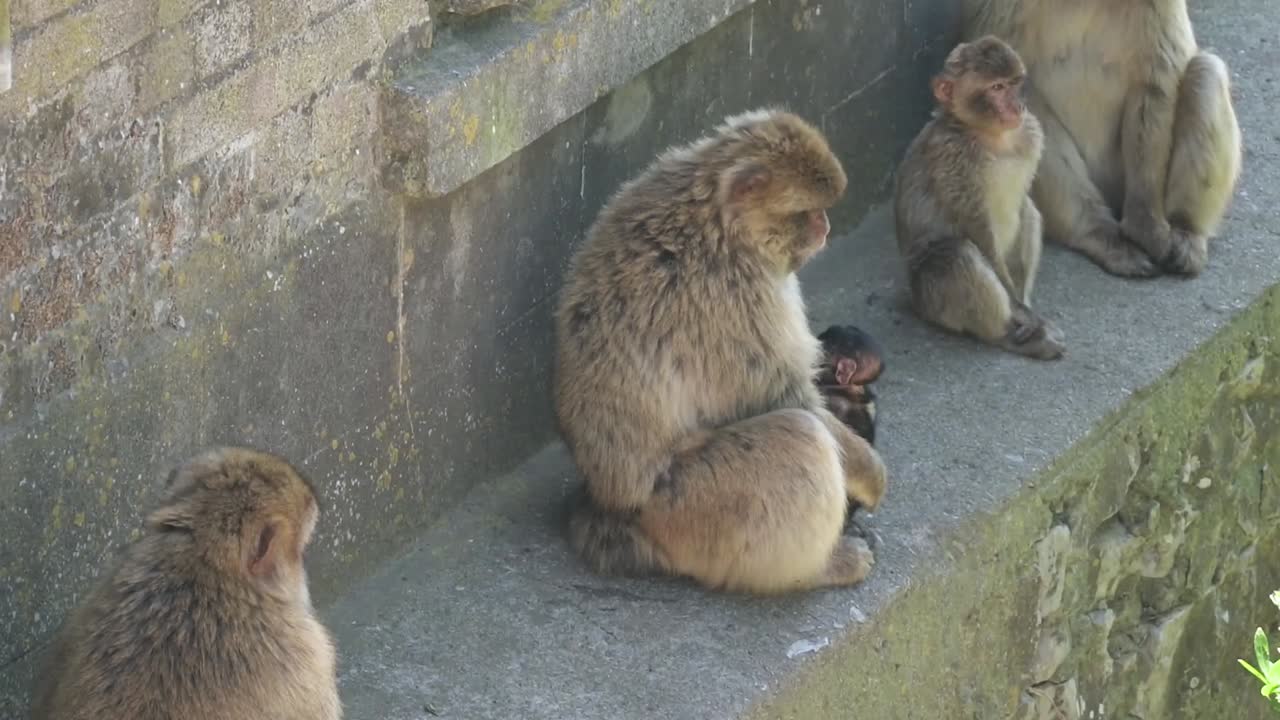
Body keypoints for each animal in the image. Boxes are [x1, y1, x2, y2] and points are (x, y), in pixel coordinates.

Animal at [554, 108, 889, 595]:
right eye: (807, 212)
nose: (825, 227)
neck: (717, 217)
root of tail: (612, 509)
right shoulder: (733, 297)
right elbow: (788, 399)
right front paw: (871, 472)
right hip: (696, 509)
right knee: (802, 436)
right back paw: (823, 567)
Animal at [894, 36, 1065, 361]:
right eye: (996, 88)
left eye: (1013, 83)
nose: (1017, 105)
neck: (991, 136)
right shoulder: (952, 156)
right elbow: (977, 231)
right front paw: (1022, 314)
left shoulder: (1030, 132)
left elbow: (1022, 208)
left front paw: (1026, 311)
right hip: (931, 299)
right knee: (955, 256)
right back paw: (1006, 336)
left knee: (1029, 212)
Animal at [963, 0, 1243, 277]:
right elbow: (1021, 104)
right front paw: (1103, 234)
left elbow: (1154, 86)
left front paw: (1146, 225)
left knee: (1205, 71)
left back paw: (1186, 231)